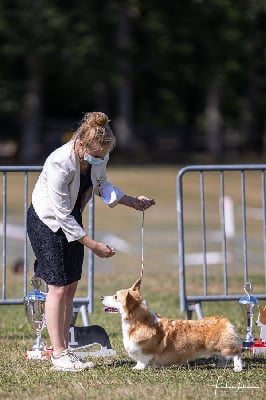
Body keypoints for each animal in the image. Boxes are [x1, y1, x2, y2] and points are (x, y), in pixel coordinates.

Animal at [101, 278, 242, 372]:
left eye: (115, 297)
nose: (101, 297)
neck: (138, 322)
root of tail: (224, 320)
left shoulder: (146, 352)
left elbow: (142, 360)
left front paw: (137, 368)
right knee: (223, 357)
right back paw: (220, 365)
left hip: (224, 345)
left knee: (236, 354)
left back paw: (238, 368)